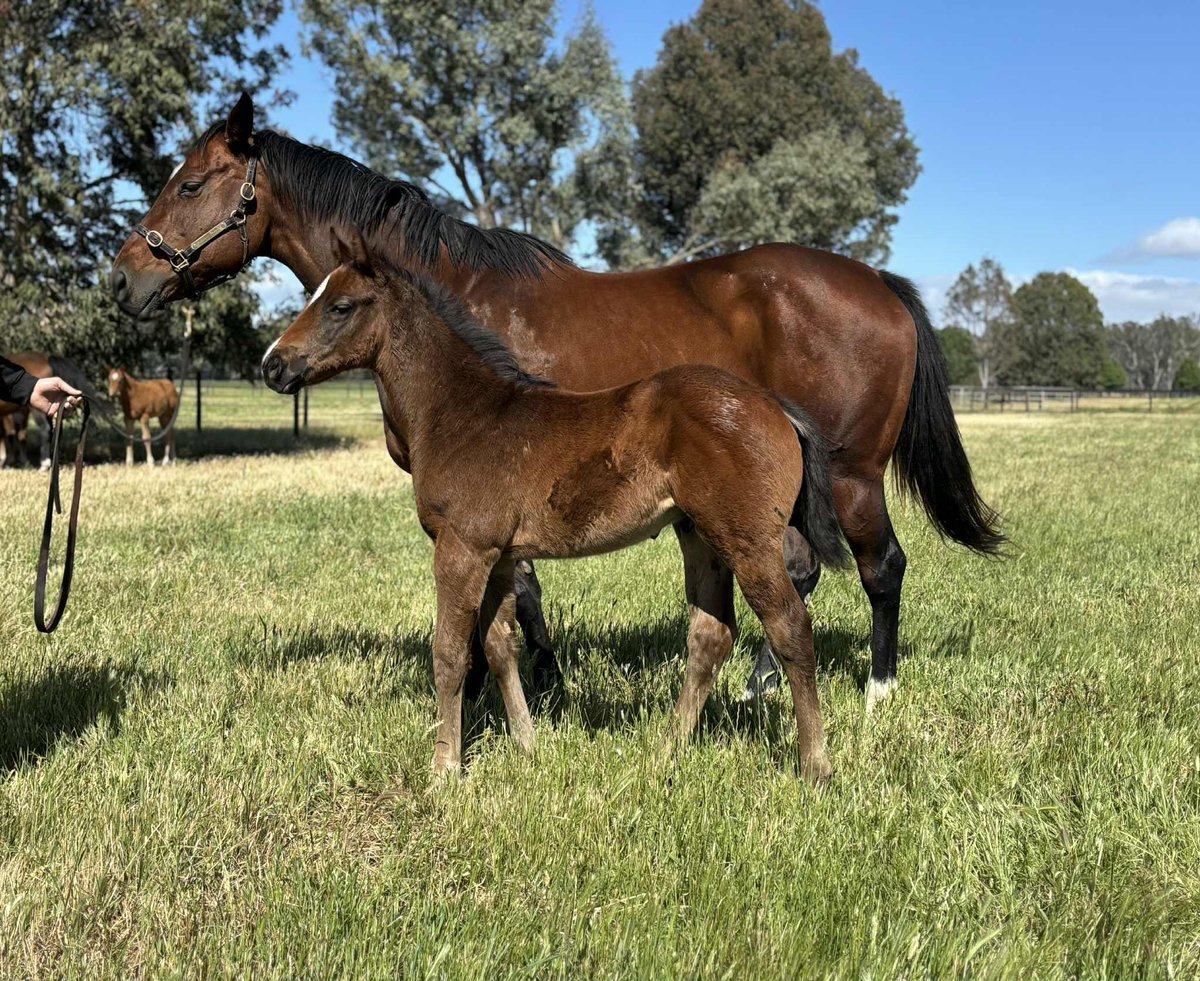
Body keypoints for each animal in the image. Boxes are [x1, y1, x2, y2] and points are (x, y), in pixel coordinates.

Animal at [112, 92, 1004, 713]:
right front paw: (537, 677)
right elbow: (523, 587)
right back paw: (759, 683)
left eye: (190, 183)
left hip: (853, 475)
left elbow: (515, 590)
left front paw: (513, 682)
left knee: (879, 567)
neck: (447, 297)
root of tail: (880, 285)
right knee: (808, 569)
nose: (125, 279)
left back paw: (877, 691)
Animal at [263, 229, 851, 782]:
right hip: (699, 535)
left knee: (790, 626)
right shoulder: (500, 555)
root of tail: (775, 407)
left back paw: (814, 766)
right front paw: (528, 745)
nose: (273, 365)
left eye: (340, 306)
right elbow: (500, 645)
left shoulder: (462, 547)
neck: (463, 413)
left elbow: (450, 652)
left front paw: (444, 768)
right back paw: (666, 752)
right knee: (711, 634)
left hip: (747, 540)